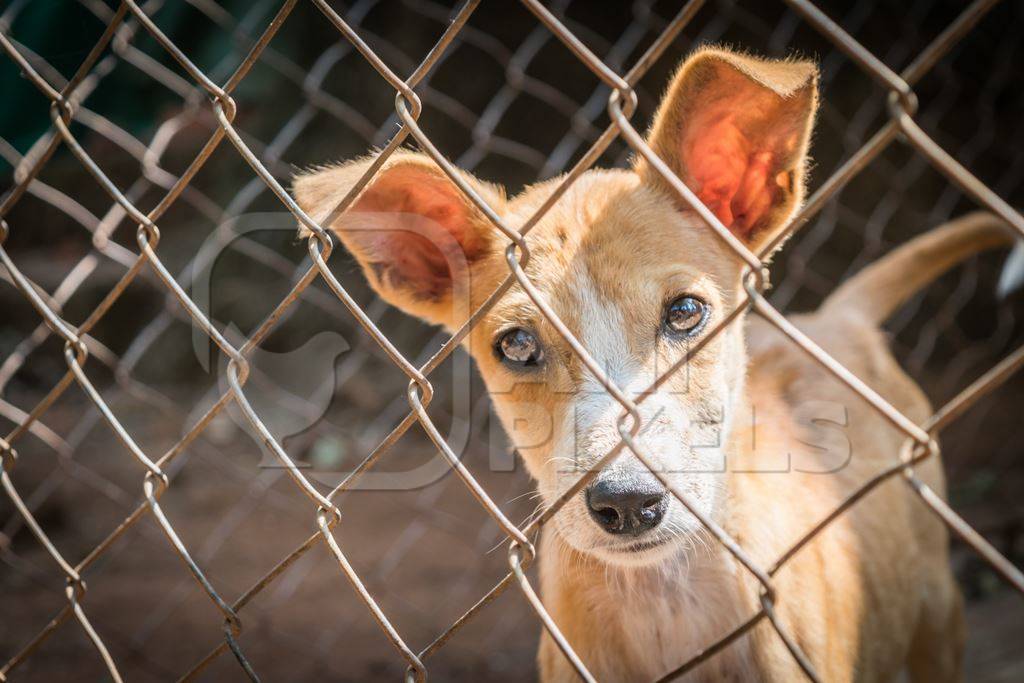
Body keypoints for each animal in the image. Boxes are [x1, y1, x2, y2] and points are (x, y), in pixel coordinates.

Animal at [294, 48, 1007, 683]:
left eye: (687, 311)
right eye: (516, 345)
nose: (629, 503)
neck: (663, 600)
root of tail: (839, 316)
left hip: (939, 611)